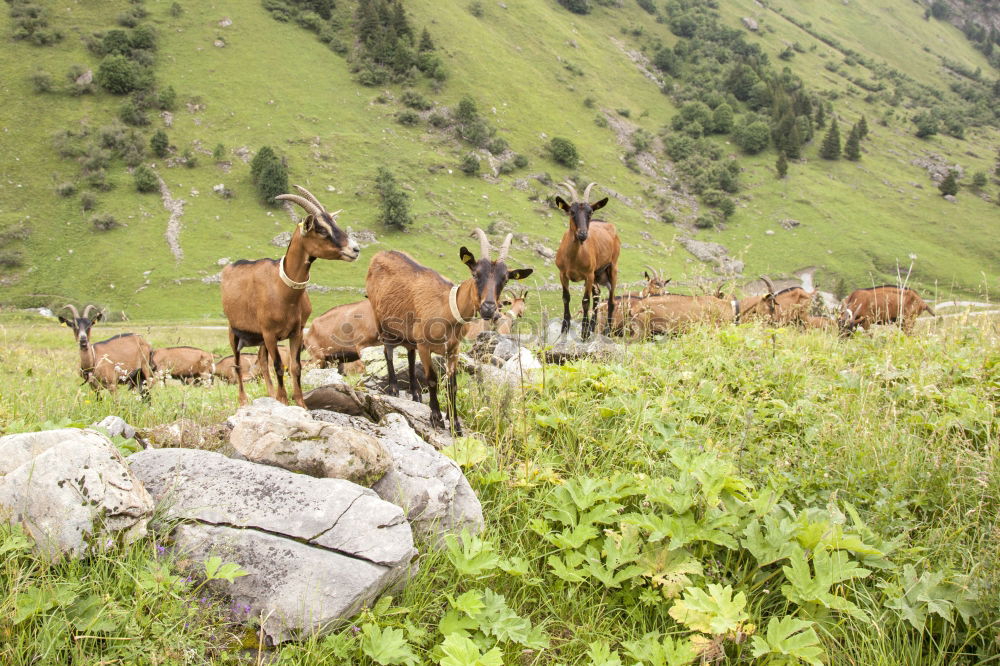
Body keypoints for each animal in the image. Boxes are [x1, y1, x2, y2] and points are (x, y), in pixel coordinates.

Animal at [221, 184, 362, 408]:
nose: (355, 249)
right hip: (235, 331)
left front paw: (300, 403)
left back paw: (270, 395)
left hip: (261, 338)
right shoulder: (270, 333)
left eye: (334, 223)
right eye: (322, 229)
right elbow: (279, 365)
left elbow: (295, 367)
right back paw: (243, 400)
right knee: (237, 362)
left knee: (262, 360)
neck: (284, 292)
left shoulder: (296, 331)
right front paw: (284, 401)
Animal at [368, 228, 536, 434]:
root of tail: (379, 254)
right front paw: (436, 418)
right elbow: (432, 379)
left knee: (409, 354)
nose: (489, 308)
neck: (446, 309)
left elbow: (452, 384)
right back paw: (393, 388)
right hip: (379, 318)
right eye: (476, 274)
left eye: (504, 280)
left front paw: (455, 423)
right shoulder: (425, 346)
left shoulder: (453, 349)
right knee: (388, 351)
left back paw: (415, 394)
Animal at [552, 180, 620, 338]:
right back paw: (592, 327)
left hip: (611, 268)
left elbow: (585, 301)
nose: (582, 234)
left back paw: (607, 331)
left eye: (590, 212)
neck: (573, 258)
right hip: (597, 274)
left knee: (611, 300)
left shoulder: (588, 275)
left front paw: (583, 332)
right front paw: (565, 328)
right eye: (572, 212)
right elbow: (566, 297)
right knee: (597, 295)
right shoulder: (562, 274)